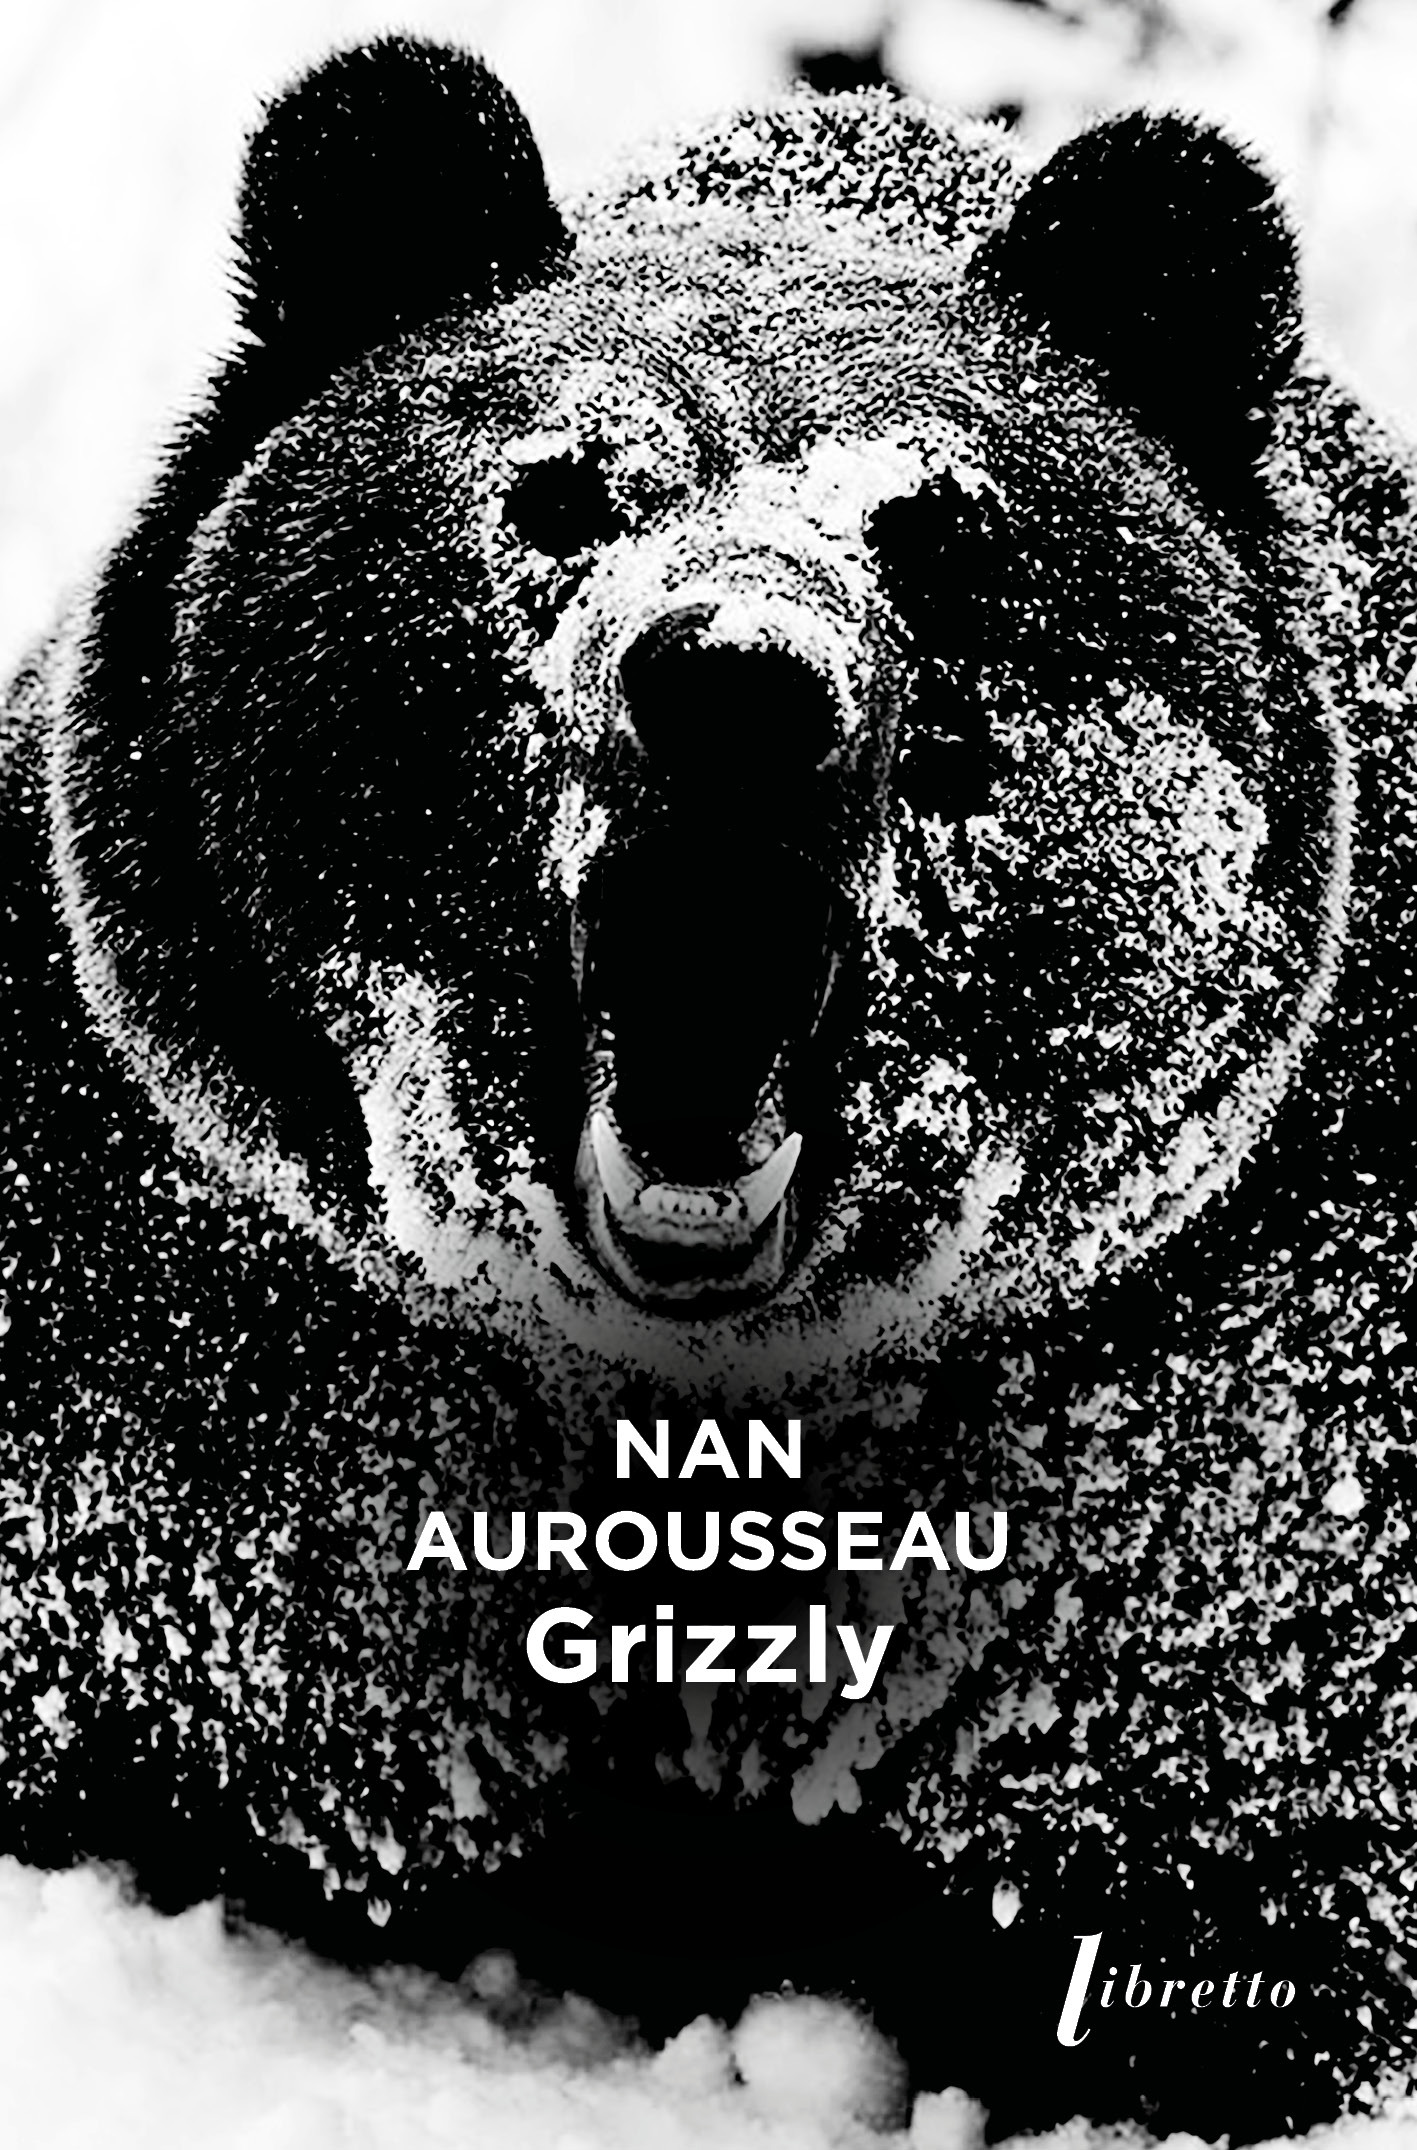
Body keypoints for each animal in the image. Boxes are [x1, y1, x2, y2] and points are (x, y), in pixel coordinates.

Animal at [3, 32, 1416, 2142]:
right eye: (559, 494)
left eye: (939, 533)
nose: (739, 678)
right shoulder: (242, 1411)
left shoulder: (1199, 1479)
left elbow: (1232, 1875)